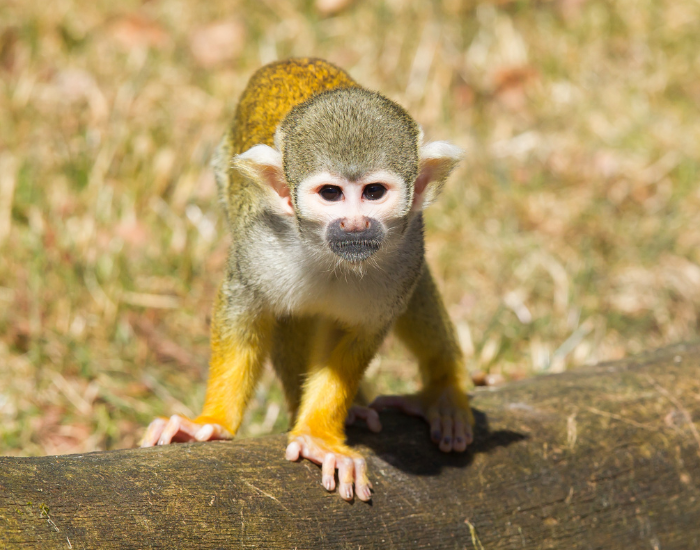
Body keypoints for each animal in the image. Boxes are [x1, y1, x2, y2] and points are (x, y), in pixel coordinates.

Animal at [141, 58, 475, 502]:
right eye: (331, 194)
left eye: (373, 192)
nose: (354, 224)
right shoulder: (261, 245)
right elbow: (245, 308)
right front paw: (211, 423)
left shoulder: (405, 256)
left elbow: (362, 335)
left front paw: (318, 435)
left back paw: (442, 390)